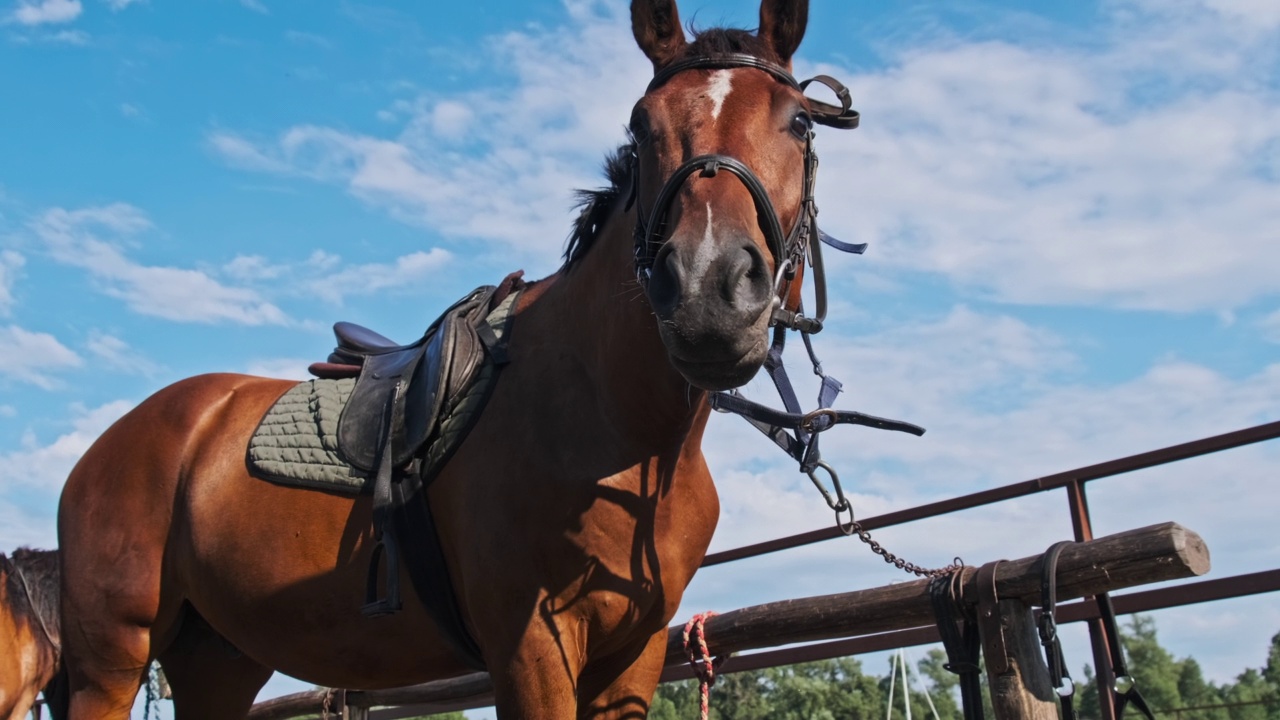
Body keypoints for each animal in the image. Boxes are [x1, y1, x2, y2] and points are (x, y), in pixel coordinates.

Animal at [57, 2, 839, 712]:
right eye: (642, 126)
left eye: (800, 122)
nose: (708, 292)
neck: (618, 428)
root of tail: (111, 444)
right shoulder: (532, 650)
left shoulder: (633, 655)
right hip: (113, 662)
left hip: (218, 659)